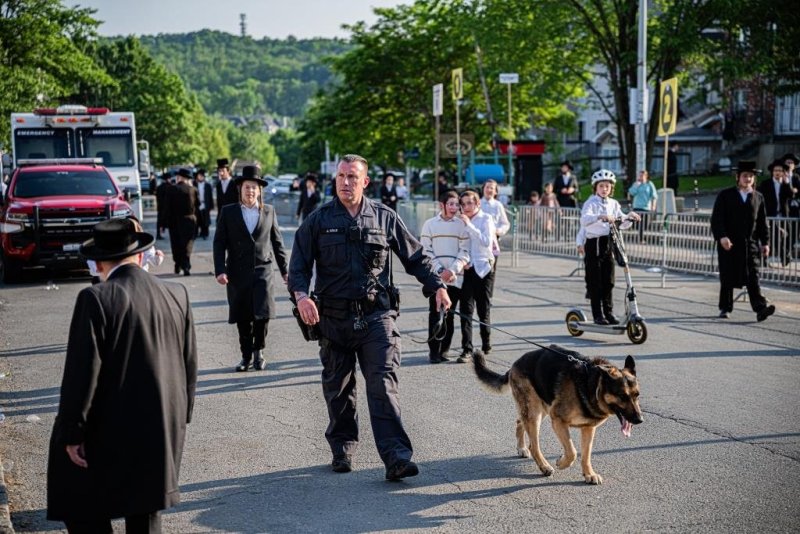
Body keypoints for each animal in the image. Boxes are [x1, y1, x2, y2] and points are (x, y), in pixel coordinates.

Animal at [476, 348, 644, 486]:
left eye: (637, 395)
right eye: (622, 396)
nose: (639, 420)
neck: (593, 385)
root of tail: (515, 364)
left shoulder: (588, 428)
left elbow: (586, 455)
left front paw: (589, 474)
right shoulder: (558, 421)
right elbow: (572, 452)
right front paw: (561, 462)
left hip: (539, 409)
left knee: (519, 422)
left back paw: (522, 448)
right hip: (535, 413)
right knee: (534, 445)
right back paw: (544, 466)